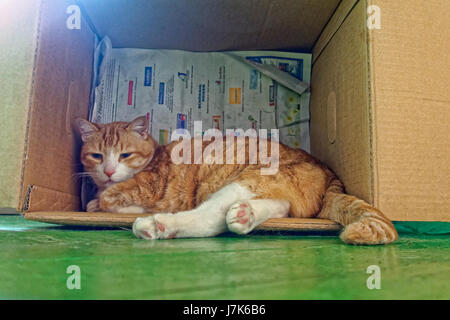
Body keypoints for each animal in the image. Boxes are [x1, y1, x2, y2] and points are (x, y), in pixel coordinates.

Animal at [76, 116, 398, 244]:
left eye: (125, 154)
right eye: (96, 156)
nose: (108, 171)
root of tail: (329, 171)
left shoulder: (148, 188)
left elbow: (108, 200)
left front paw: (105, 203)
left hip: (246, 178)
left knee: (208, 217)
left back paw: (157, 225)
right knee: (279, 207)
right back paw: (246, 215)